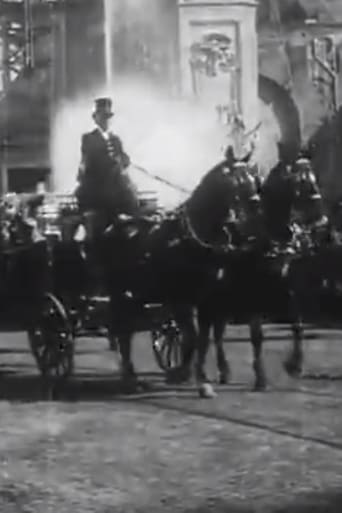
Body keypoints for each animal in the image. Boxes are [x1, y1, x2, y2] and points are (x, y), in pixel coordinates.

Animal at [100, 158, 240, 390]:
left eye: (254, 180)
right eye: (235, 183)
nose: (234, 224)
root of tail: (114, 226)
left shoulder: (212, 299)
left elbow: (211, 337)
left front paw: (214, 372)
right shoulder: (182, 299)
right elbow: (193, 336)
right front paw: (183, 373)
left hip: (136, 295)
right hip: (119, 293)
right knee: (123, 331)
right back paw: (130, 376)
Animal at [194, 154, 324, 390]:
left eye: (314, 176)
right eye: (300, 181)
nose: (320, 217)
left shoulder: (288, 288)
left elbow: (298, 325)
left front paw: (295, 365)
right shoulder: (253, 294)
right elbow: (257, 336)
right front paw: (261, 377)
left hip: (223, 302)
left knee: (217, 333)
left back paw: (223, 370)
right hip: (210, 302)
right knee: (207, 334)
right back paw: (208, 371)